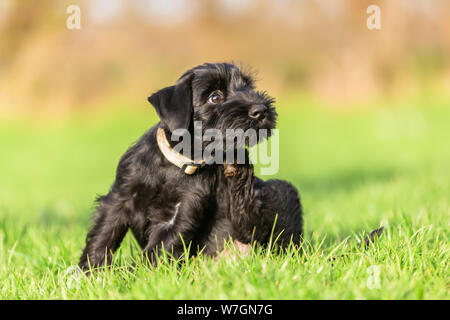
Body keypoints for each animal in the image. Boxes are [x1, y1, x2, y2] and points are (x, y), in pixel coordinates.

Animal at [78, 62, 302, 270]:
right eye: (215, 97)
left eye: (247, 87)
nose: (261, 110)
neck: (177, 163)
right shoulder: (120, 197)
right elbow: (104, 235)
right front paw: (89, 272)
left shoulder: (183, 211)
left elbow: (158, 248)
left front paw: (135, 276)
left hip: (279, 191)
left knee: (259, 231)